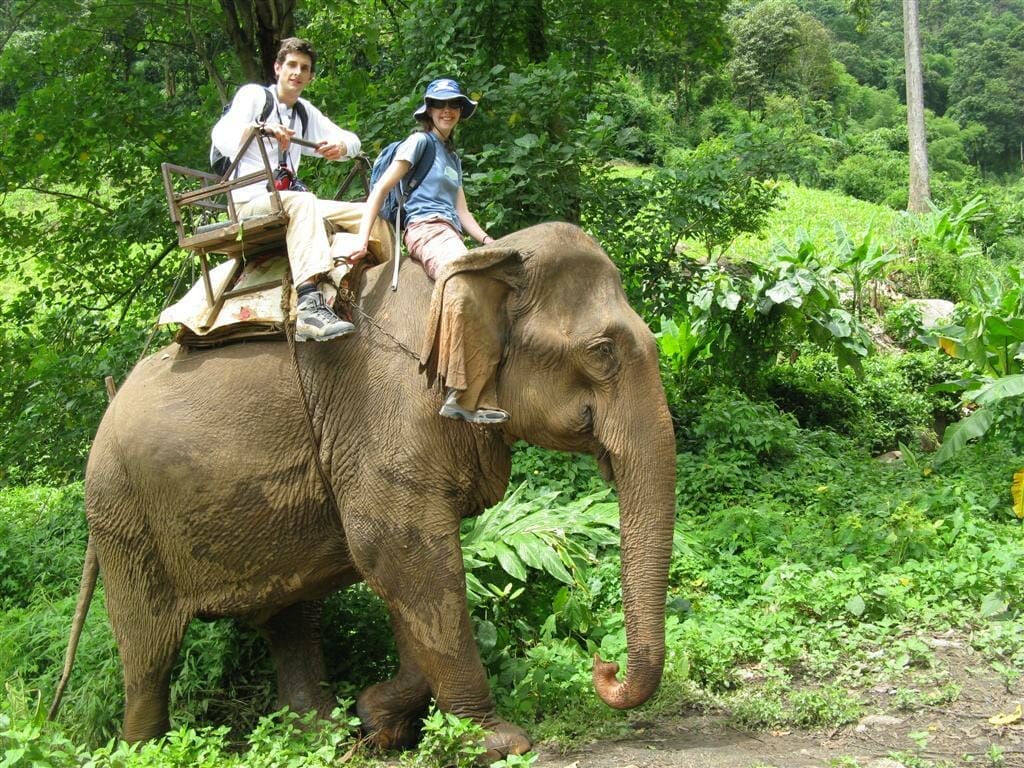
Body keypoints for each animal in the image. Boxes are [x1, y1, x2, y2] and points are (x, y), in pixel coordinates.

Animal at [53, 221, 677, 760]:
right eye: (601, 352)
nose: (604, 668)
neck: (486, 264)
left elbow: (409, 570)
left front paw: (378, 720)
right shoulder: (388, 416)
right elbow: (401, 551)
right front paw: (497, 743)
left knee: (291, 617)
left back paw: (321, 736)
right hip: (123, 514)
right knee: (148, 648)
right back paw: (146, 750)